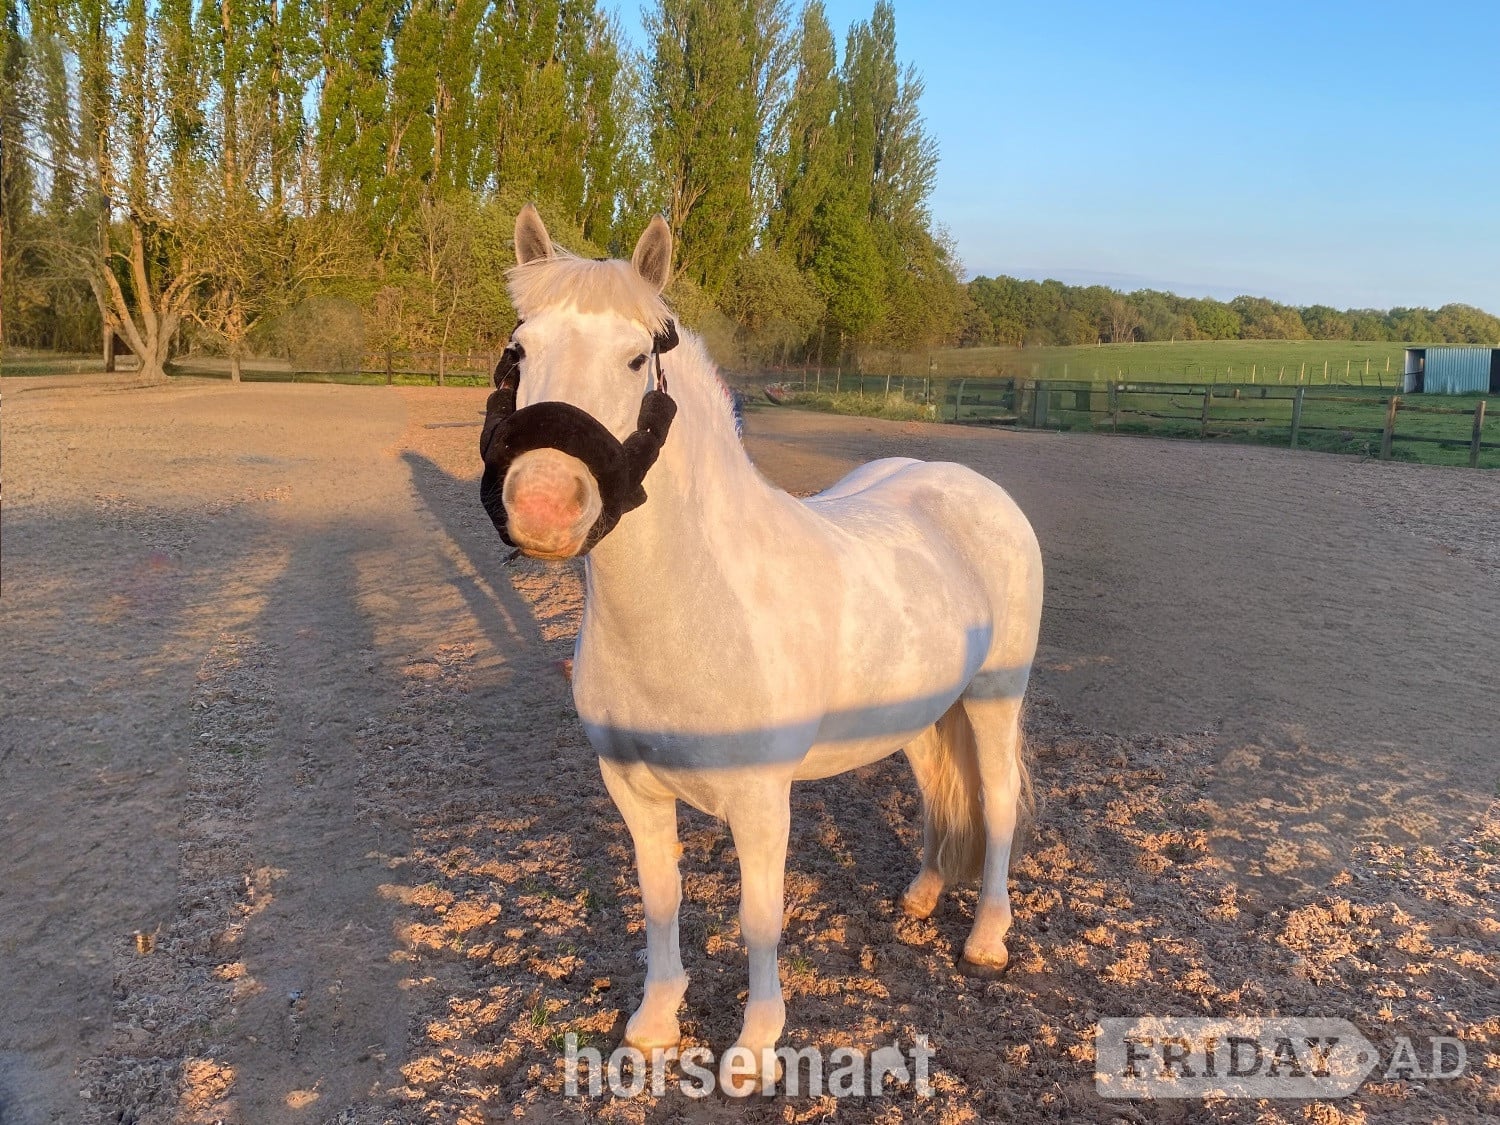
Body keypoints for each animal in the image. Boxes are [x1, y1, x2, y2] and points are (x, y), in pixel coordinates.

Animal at [481, 204, 1044, 1095]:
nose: (542, 505)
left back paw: (987, 937)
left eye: (635, 358)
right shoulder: (632, 788)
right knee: (936, 791)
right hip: (925, 710)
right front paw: (653, 1024)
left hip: (995, 696)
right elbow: (661, 896)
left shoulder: (760, 801)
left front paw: (753, 1047)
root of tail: (971, 488)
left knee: (995, 803)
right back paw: (921, 896)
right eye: (521, 350)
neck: (698, 604)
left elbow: (757, 918)